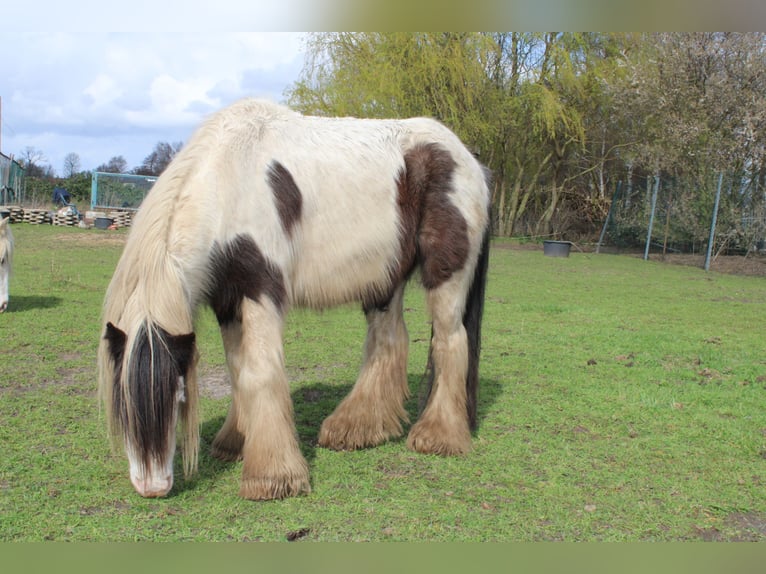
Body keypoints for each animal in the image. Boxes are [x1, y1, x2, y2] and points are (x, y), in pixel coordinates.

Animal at [97, 98, 491, 500]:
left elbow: (259, 372)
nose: (152, 487)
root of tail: (469, 160)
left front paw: (272, 475)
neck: (230, 180)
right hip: (384, 277)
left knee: (449, 341)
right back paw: (357, 427)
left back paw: (439, 436)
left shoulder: (260, 291)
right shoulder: (227, 302)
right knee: (388, 340)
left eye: (178, 397)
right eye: (121, 402)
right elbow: (237, 370)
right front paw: (235, 442)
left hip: (446, 276)